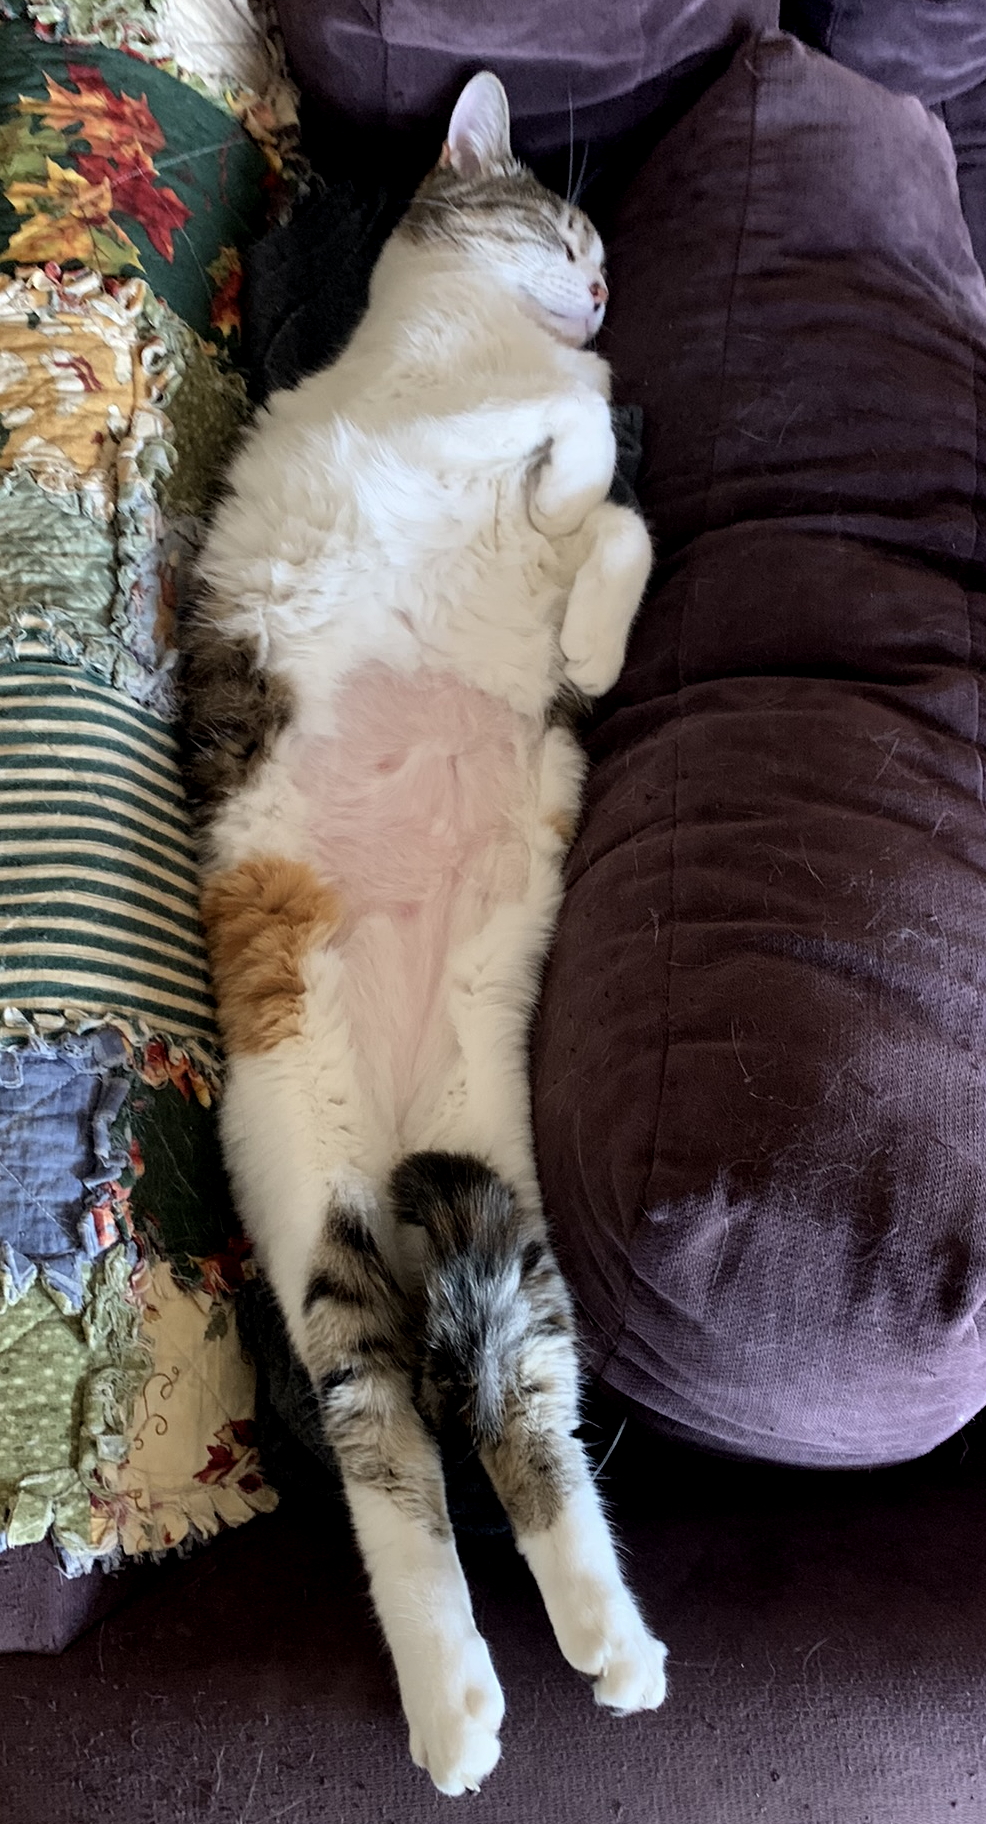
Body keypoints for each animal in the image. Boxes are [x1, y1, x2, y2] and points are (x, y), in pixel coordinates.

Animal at [180, 70, 666, 1797]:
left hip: (488, 1179)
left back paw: (604, 1647)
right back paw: (452, 1704)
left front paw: (590, 619)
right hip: (305, 1191)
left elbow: (616, 527)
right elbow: (591, 449)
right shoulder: (436, 425)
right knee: (381, 1445)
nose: (602, 290)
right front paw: (593, 439)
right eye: (567, 230)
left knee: (514, 1401)